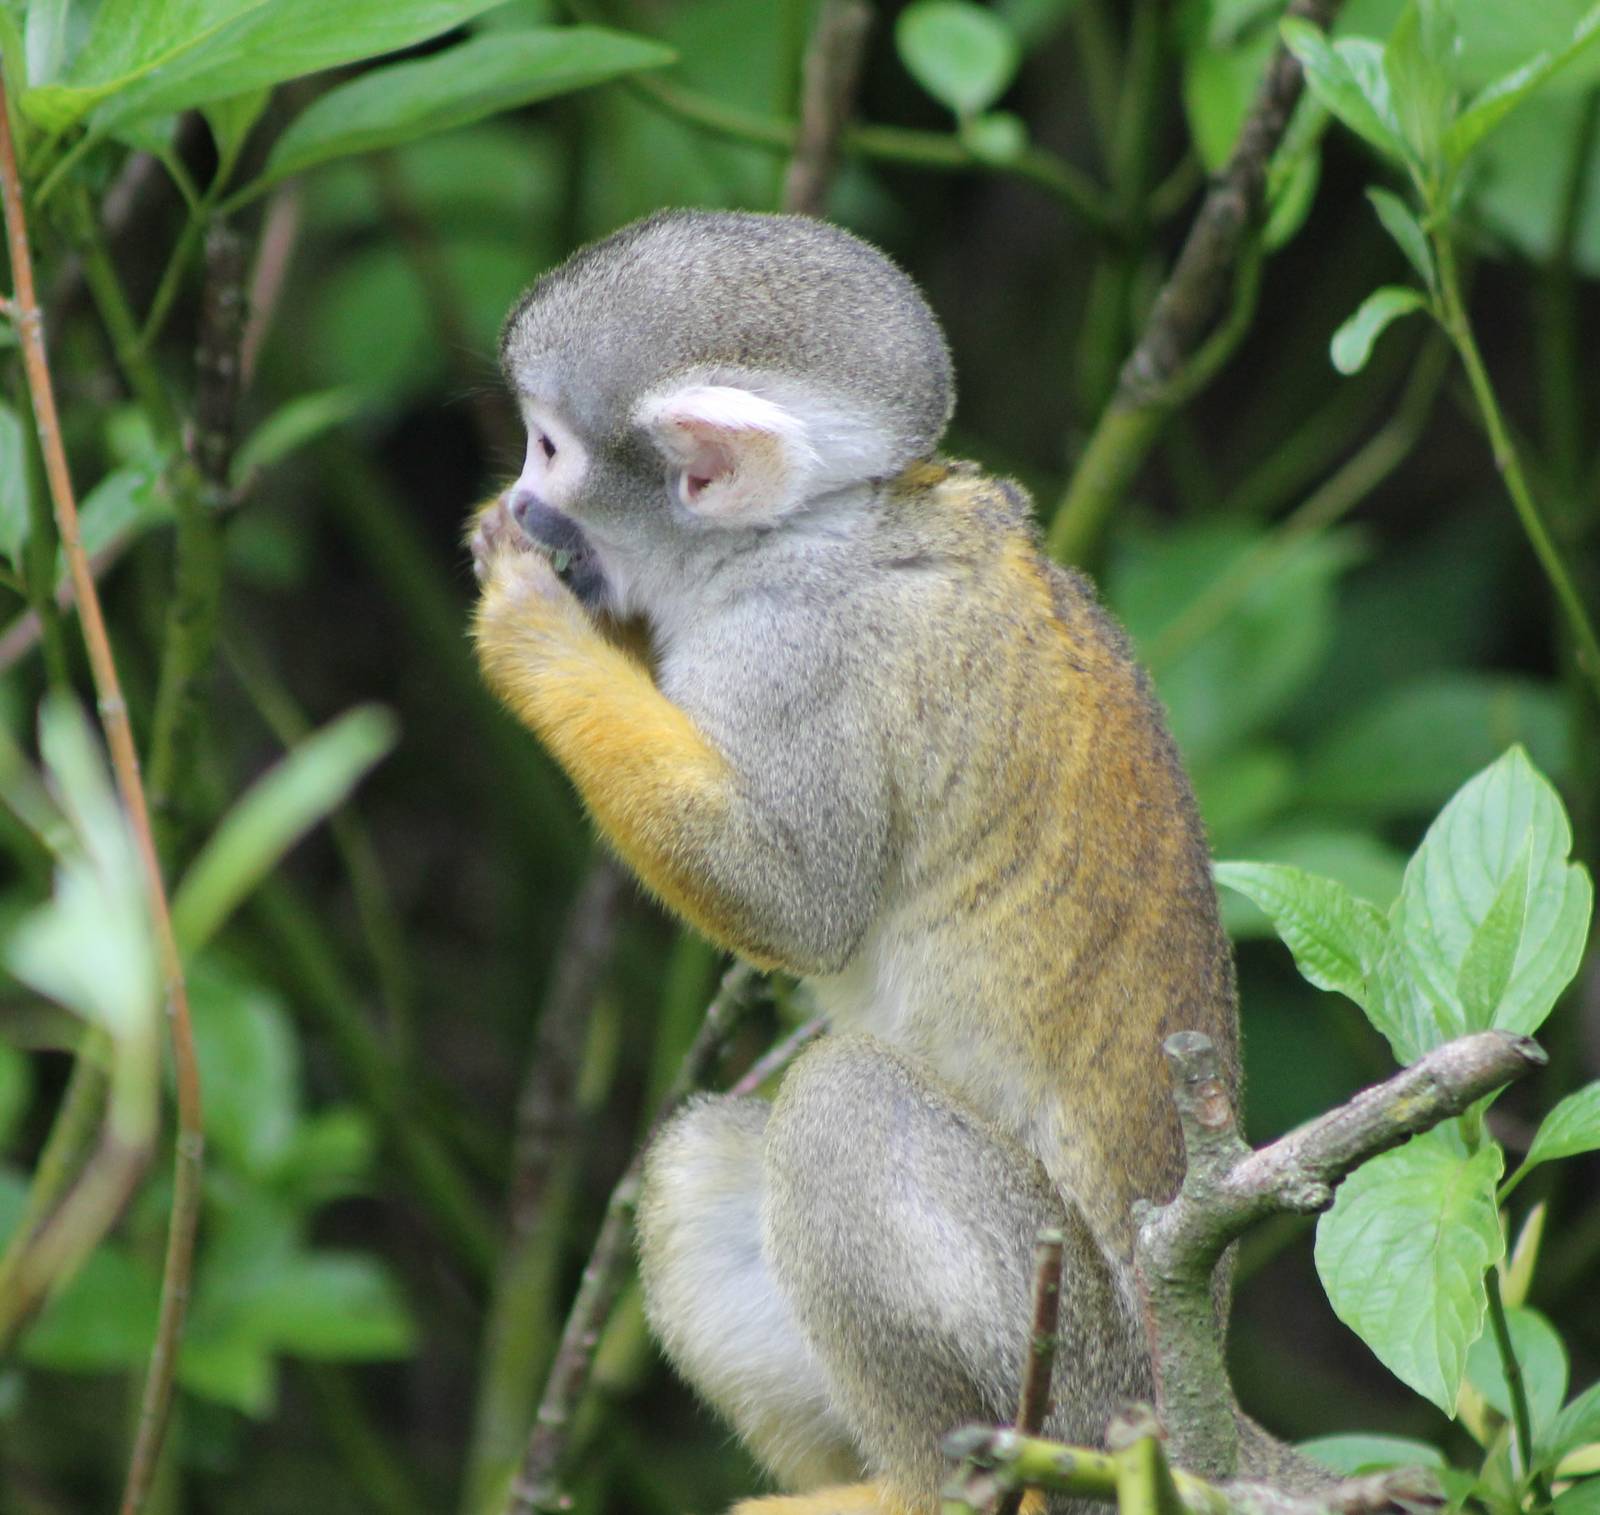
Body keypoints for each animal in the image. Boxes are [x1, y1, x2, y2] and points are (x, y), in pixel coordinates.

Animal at [469, 209, 1238, 1515]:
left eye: (549, 447)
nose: (521, 500)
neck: (811, 528)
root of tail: (1194, 1416)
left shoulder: (798, 648)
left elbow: (793, 903)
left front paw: (531, 633)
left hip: (1073, 1371)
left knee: (842, 1105)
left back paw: (920, 1488)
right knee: (701, 1167)